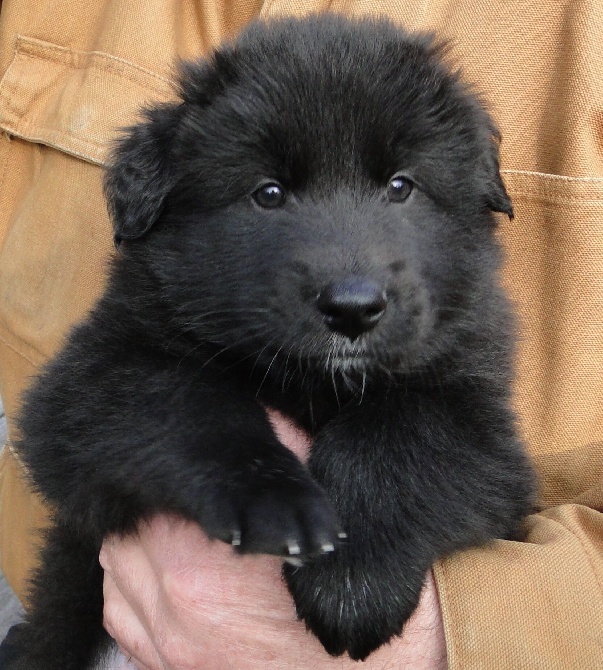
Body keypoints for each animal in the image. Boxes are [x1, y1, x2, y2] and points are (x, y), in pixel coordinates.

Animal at [7, 13, 536, 668]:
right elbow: (189, 405)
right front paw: (272, 499)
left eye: (401, 185)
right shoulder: (93, 380)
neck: (316, 377)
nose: (353, 308)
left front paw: (354, 577)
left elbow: (401, 437)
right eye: (268, 193)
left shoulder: (477, 414)